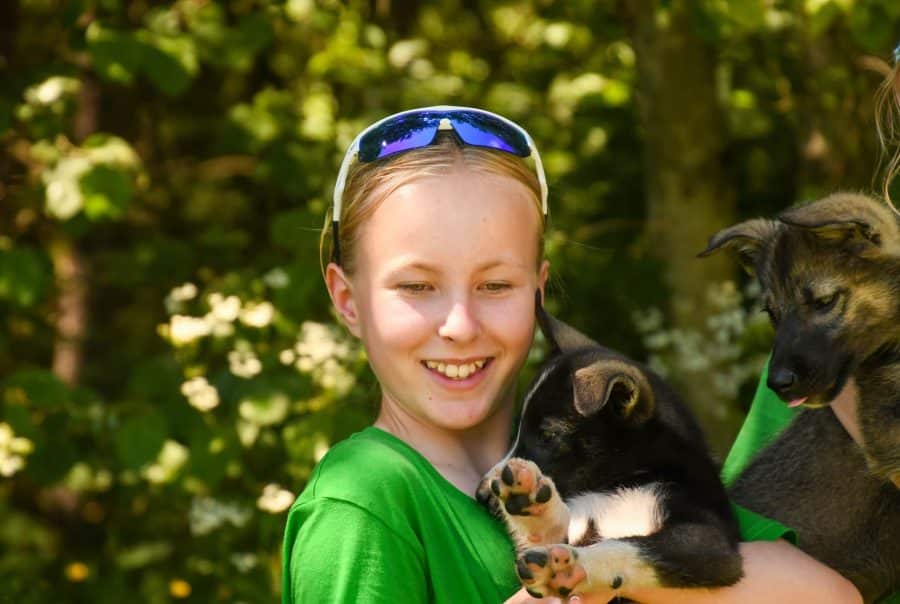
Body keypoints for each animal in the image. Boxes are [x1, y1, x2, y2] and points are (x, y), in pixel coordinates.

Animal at [478, 310, 744, 600]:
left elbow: (626, 547)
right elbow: (557, 533)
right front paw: (532, 506)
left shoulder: (709, 541)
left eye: (547, 436)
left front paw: (570, 566)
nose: (481, 493)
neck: (621, 482)